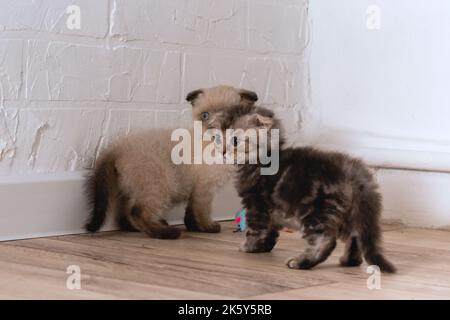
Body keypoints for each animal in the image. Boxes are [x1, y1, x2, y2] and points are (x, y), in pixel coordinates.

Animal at [234, 108, 396, 272]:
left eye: (235, 139)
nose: (229, 145)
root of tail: (352, 171)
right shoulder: (270, 211)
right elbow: (270, 231)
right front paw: (264, 247)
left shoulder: (256, 204)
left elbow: (255, 229)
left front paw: (249, 246)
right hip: (349, 214)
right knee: (355, 236)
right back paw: (349, 260)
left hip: (315, 211)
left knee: (326, 241)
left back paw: (301, 261)